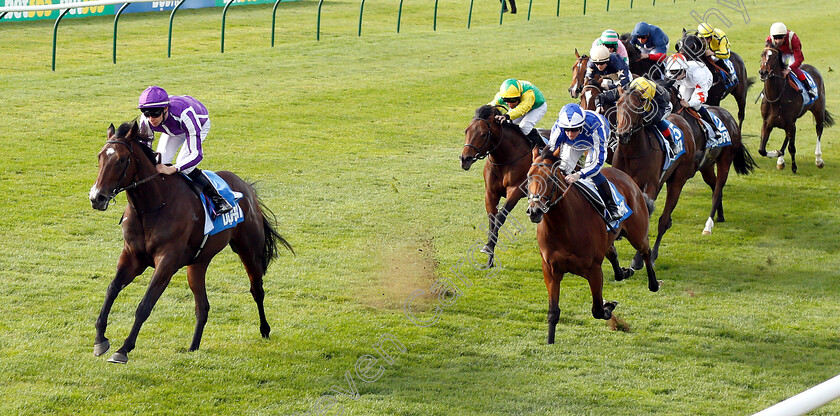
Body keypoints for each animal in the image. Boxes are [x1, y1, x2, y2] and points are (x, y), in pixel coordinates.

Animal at [88, 121, 292, 364]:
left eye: (121, 159)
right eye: (100, 156)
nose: (97, 197)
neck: (153, 204)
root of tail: (246, 188)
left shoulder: (167, 262)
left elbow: (145, 304)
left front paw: (124, 349)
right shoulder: (132, 257)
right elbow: (112, 289)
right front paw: (100, 339)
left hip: (249, 249)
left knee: (257, 290)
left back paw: (265, 329)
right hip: (198, 263)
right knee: (202, 306)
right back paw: (193, 346)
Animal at [524, 146, 656, 344]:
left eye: (551, 178)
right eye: (529, 177)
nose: (534, 211)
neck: (564, 227)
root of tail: (624, 176)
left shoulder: (594, 269)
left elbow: (598, 310)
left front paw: (609, 306)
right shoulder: (550, 270)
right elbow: (553, 312)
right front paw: (549, 342)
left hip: (637, 233)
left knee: (646, 251)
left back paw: (653, 283)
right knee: (613, 254)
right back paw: (624, 272)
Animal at [612, 89, 700, 268]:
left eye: (636, 107)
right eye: (618, 104)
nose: (622, 134)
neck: (632, 153)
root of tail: (683, 121)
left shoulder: (650, 185)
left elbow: (646, 212)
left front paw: (638, 259)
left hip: (677, 181)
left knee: (664, 220)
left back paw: (651, 256)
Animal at [756, 46, 836, 174]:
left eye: (774, 57)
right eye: (762, 55)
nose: (763, 72)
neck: (776, 98)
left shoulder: (790, 123)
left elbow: (792, 148)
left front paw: (793, 167)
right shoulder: (768, 123)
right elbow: (762, 150)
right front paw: (778, 153)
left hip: (818, 111)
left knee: (819, 130)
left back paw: (818, 160)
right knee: (787, 137)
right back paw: (780, 160)